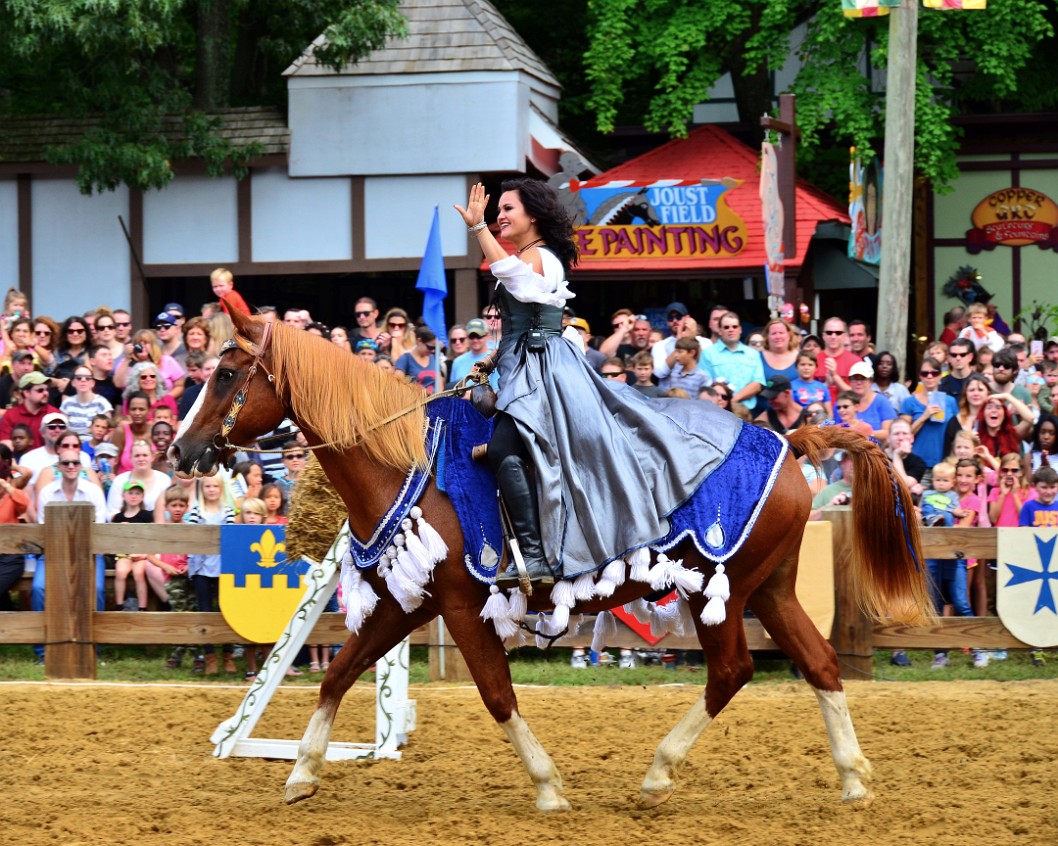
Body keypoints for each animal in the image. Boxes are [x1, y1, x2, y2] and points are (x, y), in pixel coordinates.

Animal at [169, 306, 931, 807]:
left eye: (227, 373)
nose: (179, 448)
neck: (407, 463)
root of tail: (790, 439)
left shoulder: (460, 605)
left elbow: (496, 694)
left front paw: (547, 787)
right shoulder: (406, 603)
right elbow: (337, 676)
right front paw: (301, 773)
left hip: (721, 590)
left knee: (733, 672)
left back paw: (658, 774)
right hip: (770, 588)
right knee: (820, 664)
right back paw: (853, 778)